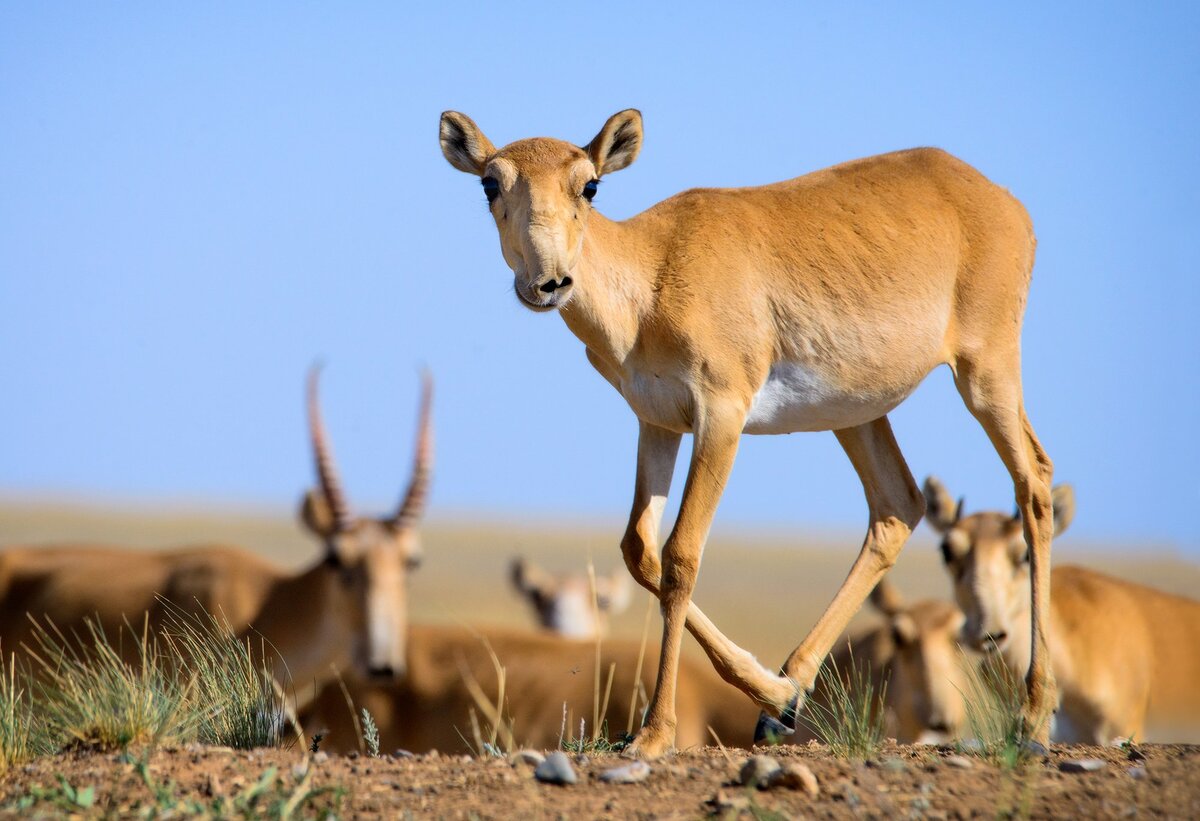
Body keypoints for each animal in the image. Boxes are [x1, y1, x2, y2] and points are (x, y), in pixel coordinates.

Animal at [444, 109, 1060, 758]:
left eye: (588, 185)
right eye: (490, 183)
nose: (549, 283)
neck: (656, 268)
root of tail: (998, 198)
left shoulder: (721, 418)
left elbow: (681, 556)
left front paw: (654, 734)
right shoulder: (657, 423)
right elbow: (640, 551)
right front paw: (774, 694)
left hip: (985, 374)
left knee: (1034, 484)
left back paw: (1032, 717)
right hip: (858, 415)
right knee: (898, 506)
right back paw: (788, 690)